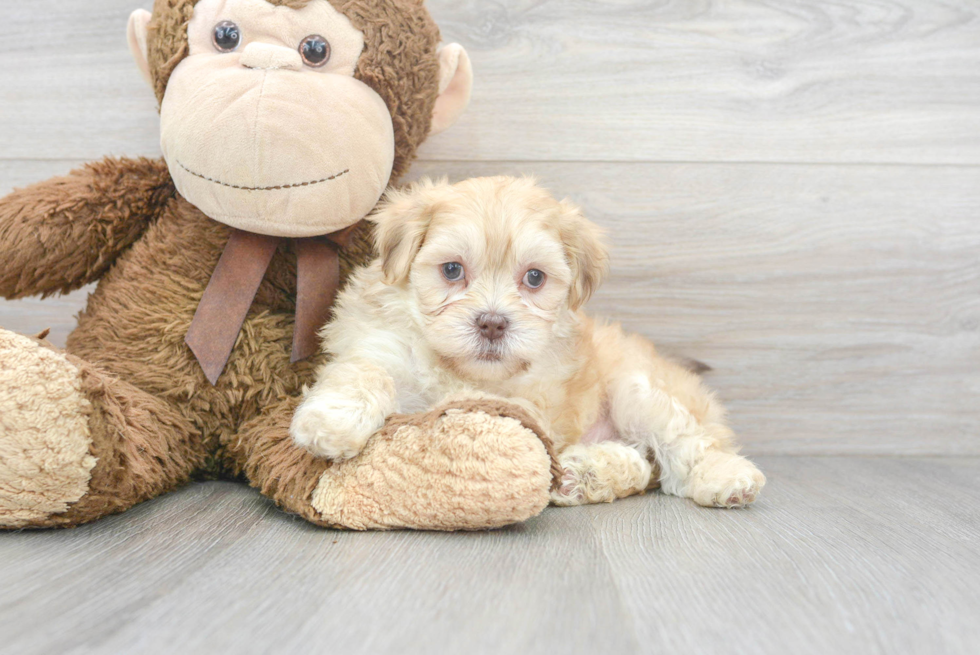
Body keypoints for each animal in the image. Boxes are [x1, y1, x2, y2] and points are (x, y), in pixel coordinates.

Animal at [290, 177, 764, 510]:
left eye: (534, 277)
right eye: (451, 270)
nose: (493, 323)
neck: (456, 368)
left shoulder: (530, 404)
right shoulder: (377, 344)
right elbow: (363, 372)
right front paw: (333, 421)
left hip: (637, 390)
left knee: (682, 444)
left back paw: (724, 479)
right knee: (641, 461)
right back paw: (582, 474)